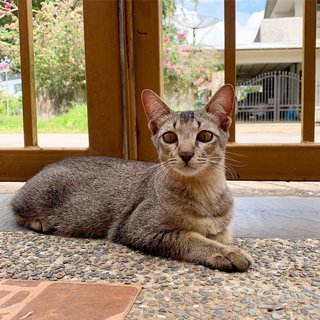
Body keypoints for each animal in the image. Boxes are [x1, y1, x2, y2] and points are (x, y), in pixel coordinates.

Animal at [11, 84, 252, 272]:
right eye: (169, 137)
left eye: (205, 135)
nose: (185, 154)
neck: (204, 192)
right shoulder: (137, 229)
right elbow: (190, 237)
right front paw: (226, 252)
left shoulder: (222, 228)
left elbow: (218, 233)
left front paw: (223, 244)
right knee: (16, 208)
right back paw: (40, 222)